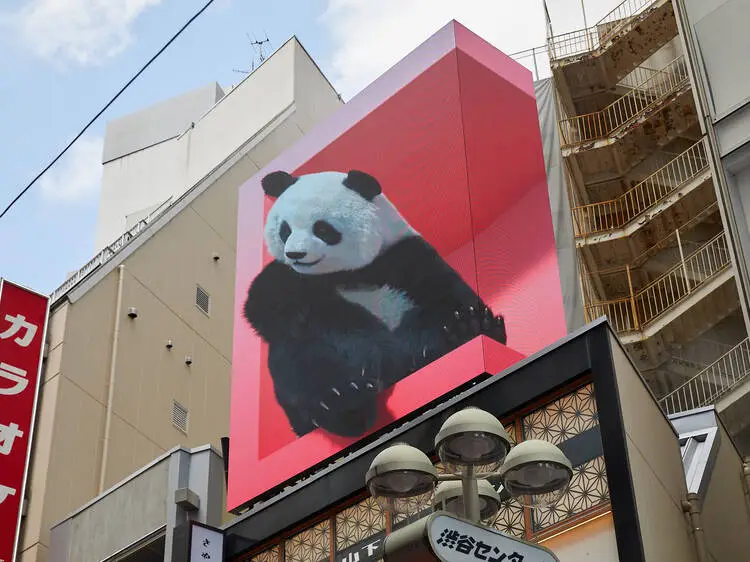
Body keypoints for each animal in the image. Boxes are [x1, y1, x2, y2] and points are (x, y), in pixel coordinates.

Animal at [243, 169, 507, 438]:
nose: (295, 254)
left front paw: (446, 335)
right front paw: (375, 353)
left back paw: (469, 328)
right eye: (285, 230)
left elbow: (446, 296)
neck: (350, 274)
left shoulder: (406, 255)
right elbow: (276, 308)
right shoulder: (288, 283)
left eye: (323, 229)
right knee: (300, 360)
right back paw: (343, 402)